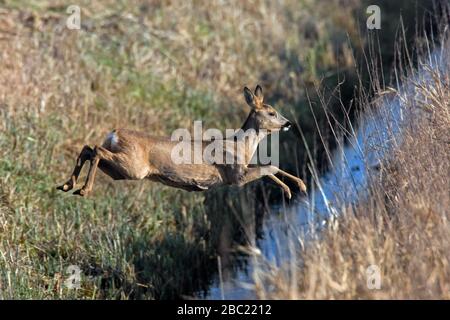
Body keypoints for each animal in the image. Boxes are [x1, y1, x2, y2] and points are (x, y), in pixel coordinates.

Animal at [57, 86, 306, 199]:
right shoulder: (235, 176)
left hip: (120, 170)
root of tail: (114, 133)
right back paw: (83, 190)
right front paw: (291, 190)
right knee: (96, 150)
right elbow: (269, 166)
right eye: (272, 112)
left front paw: (299, 186)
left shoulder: (242, 169)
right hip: (133, 166)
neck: (240, 146)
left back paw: (67, 185)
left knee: (89, 149)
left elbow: (268, 168)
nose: (288, 123)